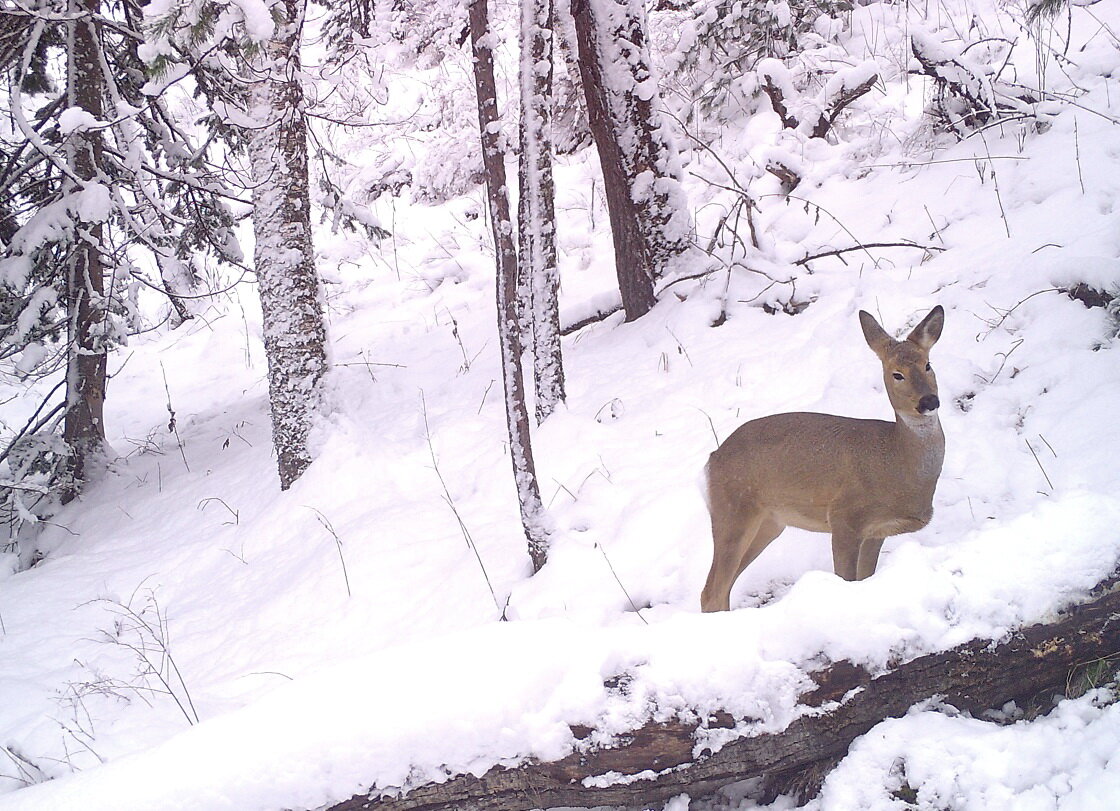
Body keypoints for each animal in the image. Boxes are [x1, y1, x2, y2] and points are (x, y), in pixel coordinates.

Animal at [698, 306, 945, 609]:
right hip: (732, 509)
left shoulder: (878, 532)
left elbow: (864, 579)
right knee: (711, 590)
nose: (929, 401)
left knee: (724, 587)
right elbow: (846, 579)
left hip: (769, 522)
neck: (895, 461)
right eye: (897, 374)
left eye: (927, 364)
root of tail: (712, 459)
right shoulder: (844, 515)